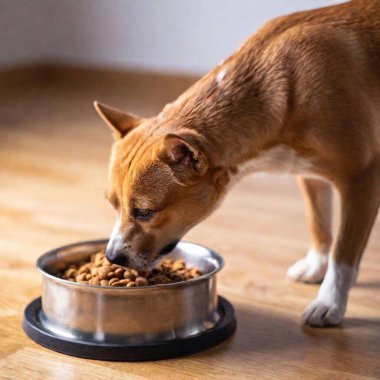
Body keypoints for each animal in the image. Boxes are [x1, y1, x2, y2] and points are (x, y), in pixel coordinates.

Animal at [93, 0, 380, 326]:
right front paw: (316, 267)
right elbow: (318, 223)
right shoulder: (309, 175)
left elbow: (343, 253)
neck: (284, 91)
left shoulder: (361, 178)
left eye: (145, 212)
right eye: (113, 205)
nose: (112, 257)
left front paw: (330, 301)